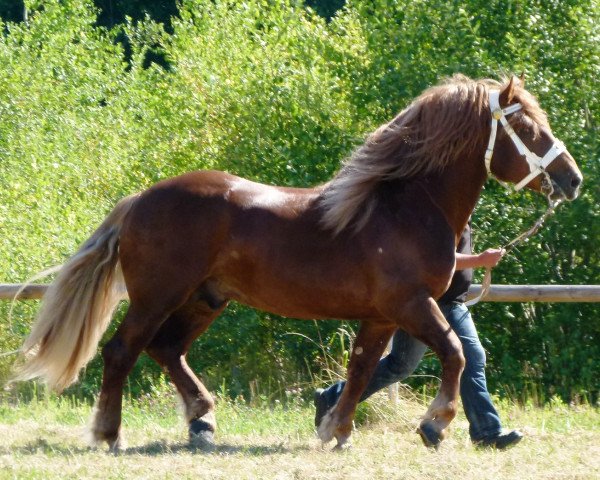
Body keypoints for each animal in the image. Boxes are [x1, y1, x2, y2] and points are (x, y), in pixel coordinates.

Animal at [14, 75, 580, 450]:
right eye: (528, 127)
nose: (572, 180)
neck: (406, 205)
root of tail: (139, 201)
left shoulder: (382, 316)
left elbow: (360, 370)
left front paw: (334, 431)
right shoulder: (412, 304)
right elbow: (456, 355)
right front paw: (434, 424)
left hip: (205, 299)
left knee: (166, 350)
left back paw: (202, 423)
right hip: (158, 296)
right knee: (121, 352)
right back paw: (108, 435)